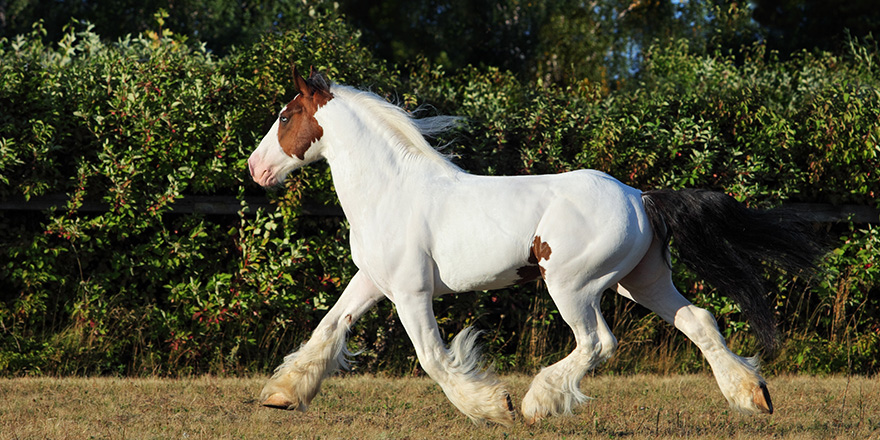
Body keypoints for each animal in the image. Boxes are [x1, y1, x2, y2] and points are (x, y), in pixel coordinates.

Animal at [248, 66, 824, 426]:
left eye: (285, 116)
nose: (255, 170)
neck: (390, 191)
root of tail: (639, 195)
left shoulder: (411, 293)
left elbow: (433, 358)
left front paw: (494, 407)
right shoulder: (372, 281)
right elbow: (327, 330)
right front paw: (280, 395)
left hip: (573, 285)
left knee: (598, 343)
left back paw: (536, 403)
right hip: (641, 282)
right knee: (699, 321)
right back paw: (753, 397)